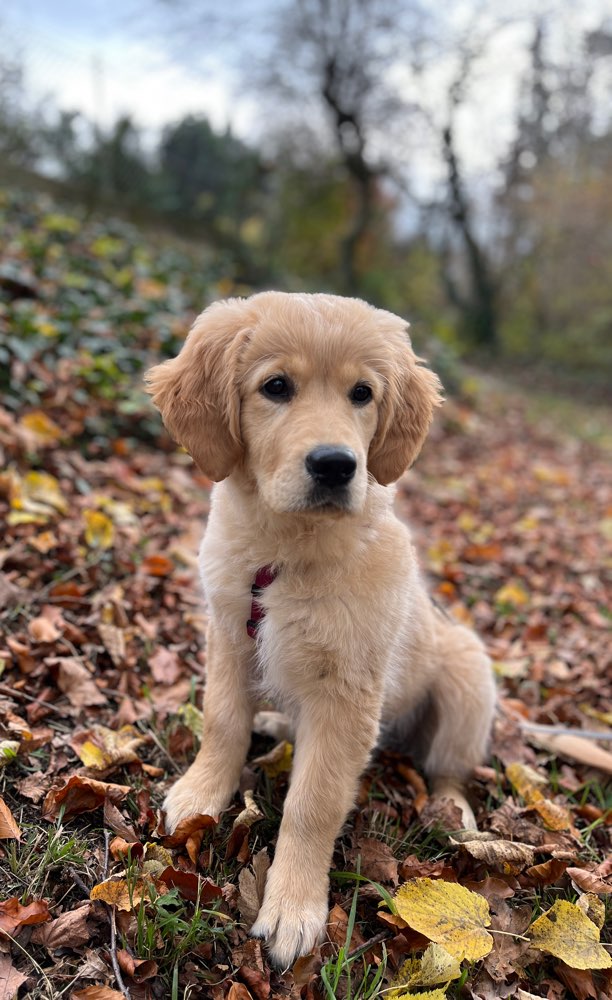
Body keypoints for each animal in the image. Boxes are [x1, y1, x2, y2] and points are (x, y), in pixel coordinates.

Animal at [147, 292, 498, 964]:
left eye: (362, 393)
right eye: (276, 387)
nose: (336, 465)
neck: (283, 551)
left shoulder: (347, 694)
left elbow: (312, 803)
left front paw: (292, 907)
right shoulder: (229, 637)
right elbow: (222, 723)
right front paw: (201, 794)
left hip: (468, 675)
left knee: (448, 766)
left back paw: (449, 808)